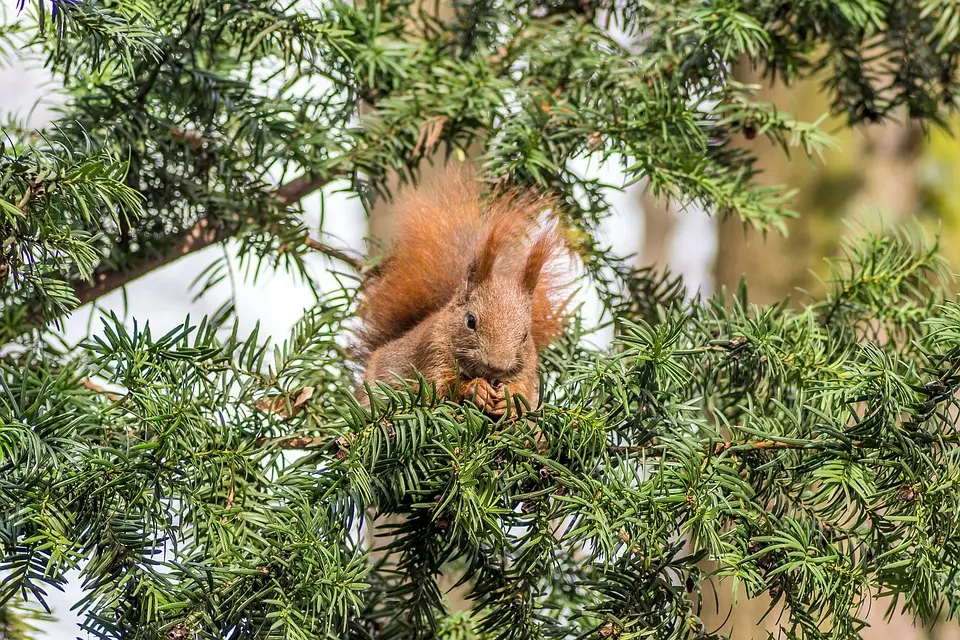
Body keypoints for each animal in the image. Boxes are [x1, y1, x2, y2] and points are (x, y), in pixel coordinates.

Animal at [358, 166, 572, 416]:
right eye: (471, 321)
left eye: (526, 335)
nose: (496, 366)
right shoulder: (432, 351)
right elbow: (439, 386)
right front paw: (476, 389)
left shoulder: (528, 366)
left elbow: (523, 389)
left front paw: (510, 399)